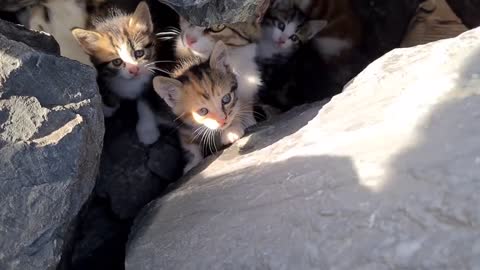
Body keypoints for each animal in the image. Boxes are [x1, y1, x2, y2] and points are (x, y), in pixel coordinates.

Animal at [71, 1, 161, 146]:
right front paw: (108, 106)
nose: (134, 70)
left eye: (139, 53)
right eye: (117, 62)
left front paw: (147, 129)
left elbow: (145, 102)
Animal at [154, 42, 249, 173]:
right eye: (202, 111)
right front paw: (193, 163)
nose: (222, 120)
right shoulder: (184, 127)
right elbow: (189, 146)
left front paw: (232, 129)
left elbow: (238, 109)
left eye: (226, 99)